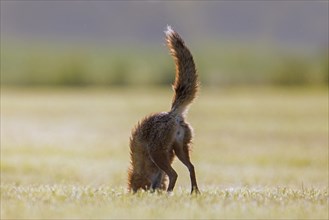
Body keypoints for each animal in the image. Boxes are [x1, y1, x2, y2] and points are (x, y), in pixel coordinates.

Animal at [127, 26, 200, 194]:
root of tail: (172, 114)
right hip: (180, 150)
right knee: (191, 168)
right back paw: (194, 192)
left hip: (158, 154)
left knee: (174, 174)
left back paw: (169, 194)